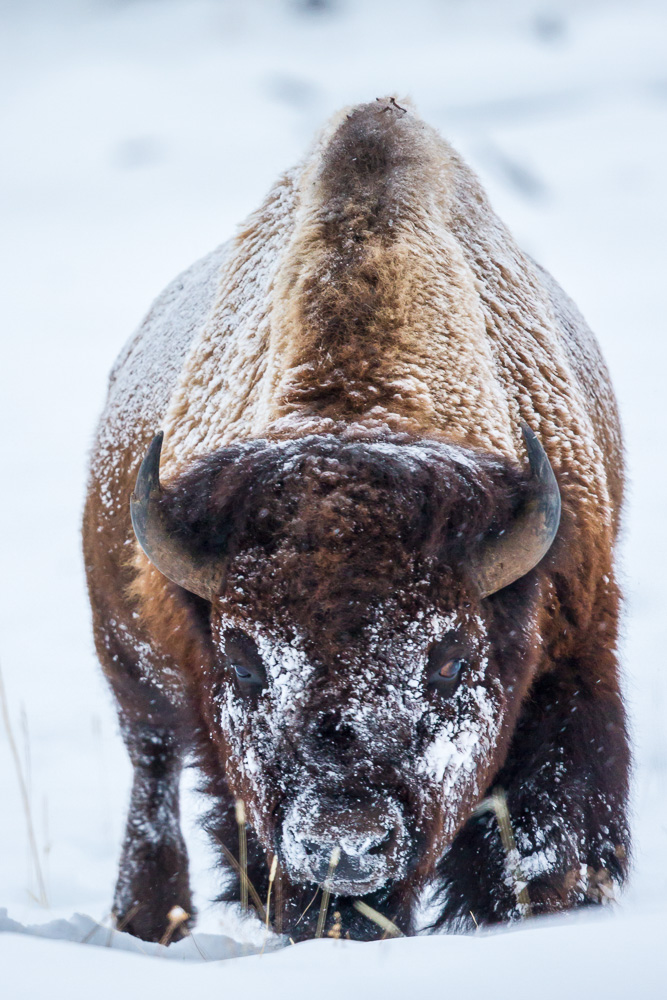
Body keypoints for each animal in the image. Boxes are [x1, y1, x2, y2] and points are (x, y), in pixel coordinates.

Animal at [83, 97, 632, 940]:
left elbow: (544, 834)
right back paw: (149, 918)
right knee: (152, 773)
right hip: (128, 664)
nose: (344, 844)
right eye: (243, 657)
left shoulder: (574, 656)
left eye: (448, 658)